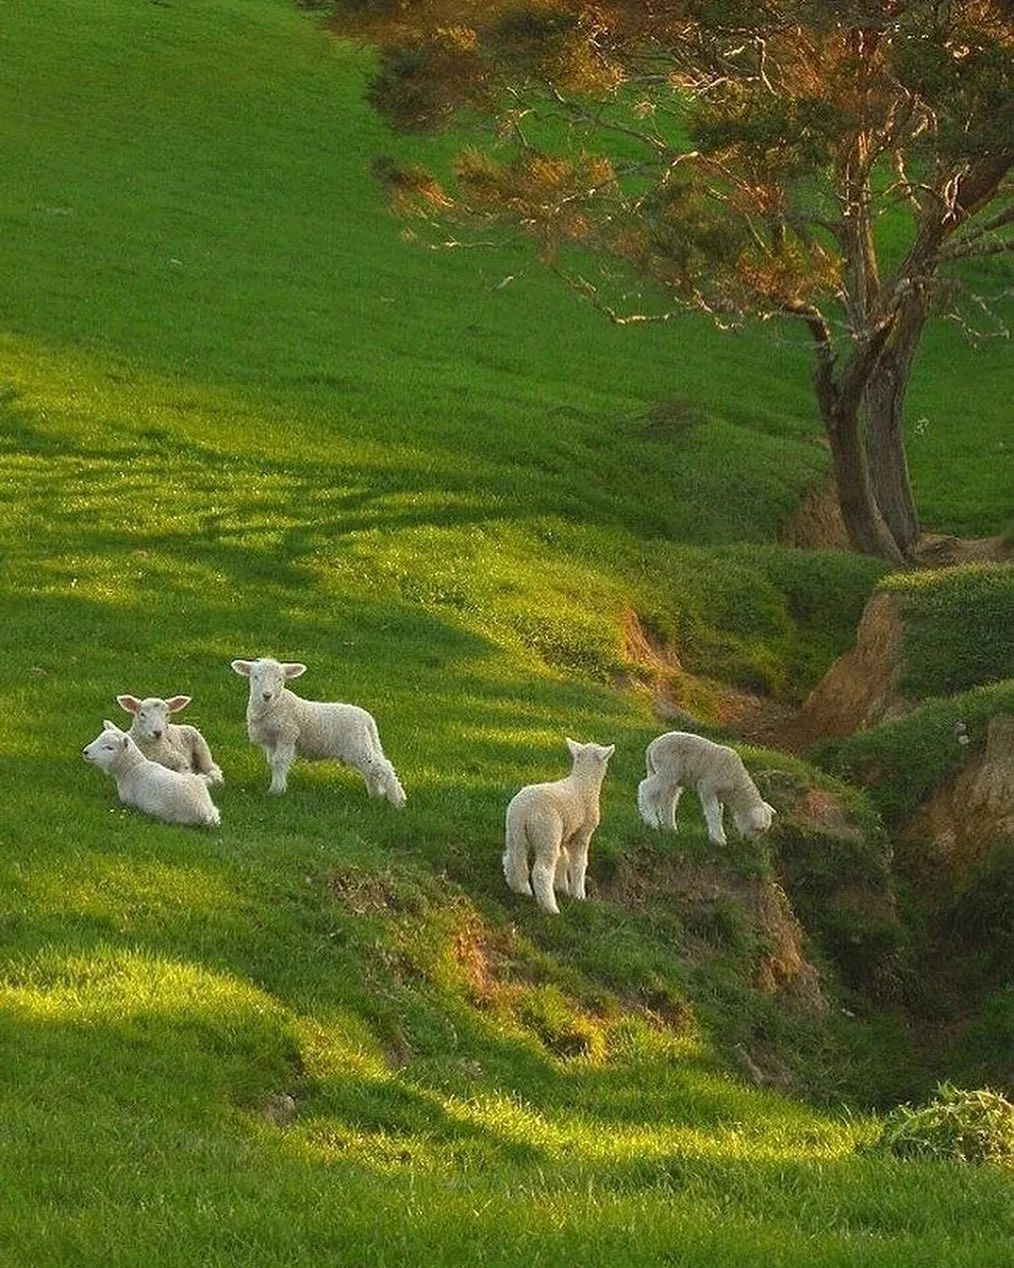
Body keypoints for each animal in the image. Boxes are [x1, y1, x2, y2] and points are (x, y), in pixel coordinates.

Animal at [229, 659, 403, 806]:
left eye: (279, 679)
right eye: (255, 677)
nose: (266, 695)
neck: (274, 706)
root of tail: (367, 718)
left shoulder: (287, 735)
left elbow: (280, 762)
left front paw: (276, 791)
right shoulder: (271, 742)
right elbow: (272, 762)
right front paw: (276, 786)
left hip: (358, 745)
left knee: (384, 767)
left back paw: (397, 800)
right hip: (362, 746)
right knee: (370, 771)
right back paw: (375, 796)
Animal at [501, 740, 613, 918]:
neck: (584, 782)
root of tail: (523, 810)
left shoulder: (565, 835)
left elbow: (563, 860)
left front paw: (562, 887)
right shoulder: (583, 834)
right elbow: (579, 863)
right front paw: (578, 894)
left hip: (515, 833)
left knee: (513, 858)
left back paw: (520, 888)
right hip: (548, 832)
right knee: (542, 872)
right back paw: (550, 908)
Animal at [641, 730, 775, 847]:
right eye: (758, 829)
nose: (751, 843)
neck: (736, 782)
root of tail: (651, 747)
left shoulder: (719, 794)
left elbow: (719, 812)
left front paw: (720, 836)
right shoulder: (707, 786)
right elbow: (713, 812)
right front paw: (717, 840)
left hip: (671, 777)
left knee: (668, 801)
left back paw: (670, 828)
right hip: (667, 770)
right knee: (645, 787)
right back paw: (651, 821)